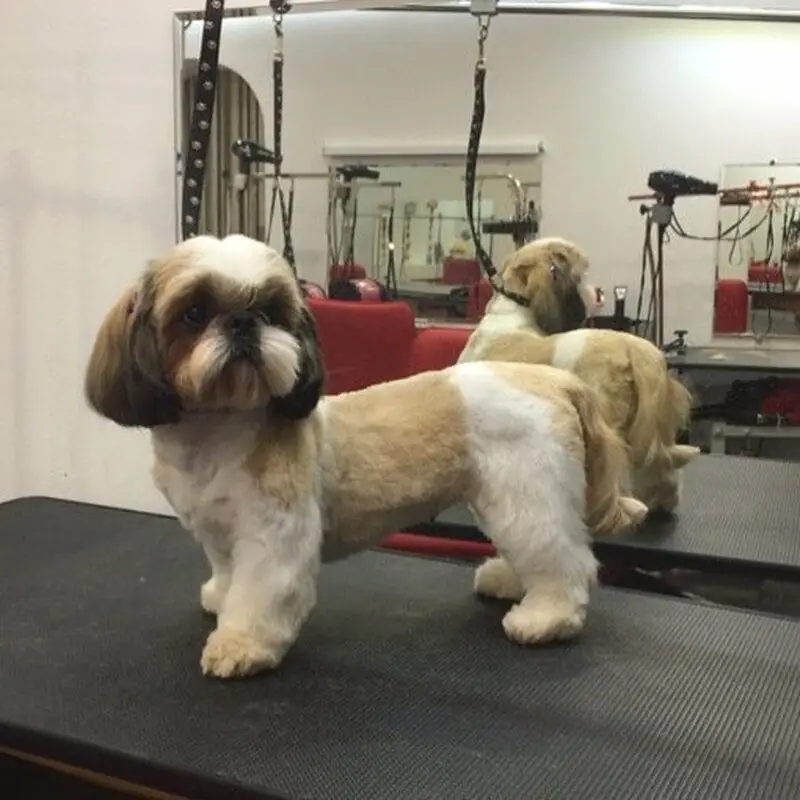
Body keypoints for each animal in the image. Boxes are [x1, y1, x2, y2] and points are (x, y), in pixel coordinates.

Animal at [85, 234, 647, 680]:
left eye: (272, 312)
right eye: (194, 313)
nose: (244, 323)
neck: (219, 433)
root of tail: (555, 381)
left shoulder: (275, 534)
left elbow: (262, 593)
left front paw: (241, 645)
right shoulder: (219, 533)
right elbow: (228, 576)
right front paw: (222, 599)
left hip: (529, 491)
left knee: (566, 562)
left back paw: (545, 619)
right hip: (508, 495)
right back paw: (510, 583)